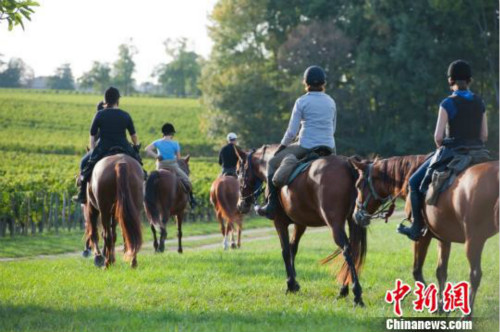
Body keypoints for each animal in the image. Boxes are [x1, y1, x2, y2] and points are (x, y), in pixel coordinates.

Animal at [236, 144, 366, 304]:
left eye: (238, 172)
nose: (240, 205)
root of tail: (347, 163)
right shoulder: (300, 224)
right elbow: (293, 248)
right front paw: (295, 283)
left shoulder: (279, 222)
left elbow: (285, 251)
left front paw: (290, 284)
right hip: (352, 221)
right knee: (352, 250)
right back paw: (343, 290)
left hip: (335, 224)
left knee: (346, 250)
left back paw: (356, 293)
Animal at [352, 156, 500, 316]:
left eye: (358, 185)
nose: (356, 215)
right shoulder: (444, 239)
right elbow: (441, 272)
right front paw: (442, 307)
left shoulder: (421, 237)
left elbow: (417, 271)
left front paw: (433, 304)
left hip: (474, 241)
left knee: (475, 274)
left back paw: (466, 316)